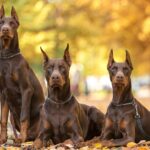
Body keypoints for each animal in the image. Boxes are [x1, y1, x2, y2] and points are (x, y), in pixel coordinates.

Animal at [0, 5, 44, 144]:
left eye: (12, 23)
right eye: (1, 22)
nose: (5, 30)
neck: (7, 57)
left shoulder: (26, 89)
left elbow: (24, 116)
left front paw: (22, 138)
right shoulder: (4, 93)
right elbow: (3, 118)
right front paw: (2, 139)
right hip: (13, 116)